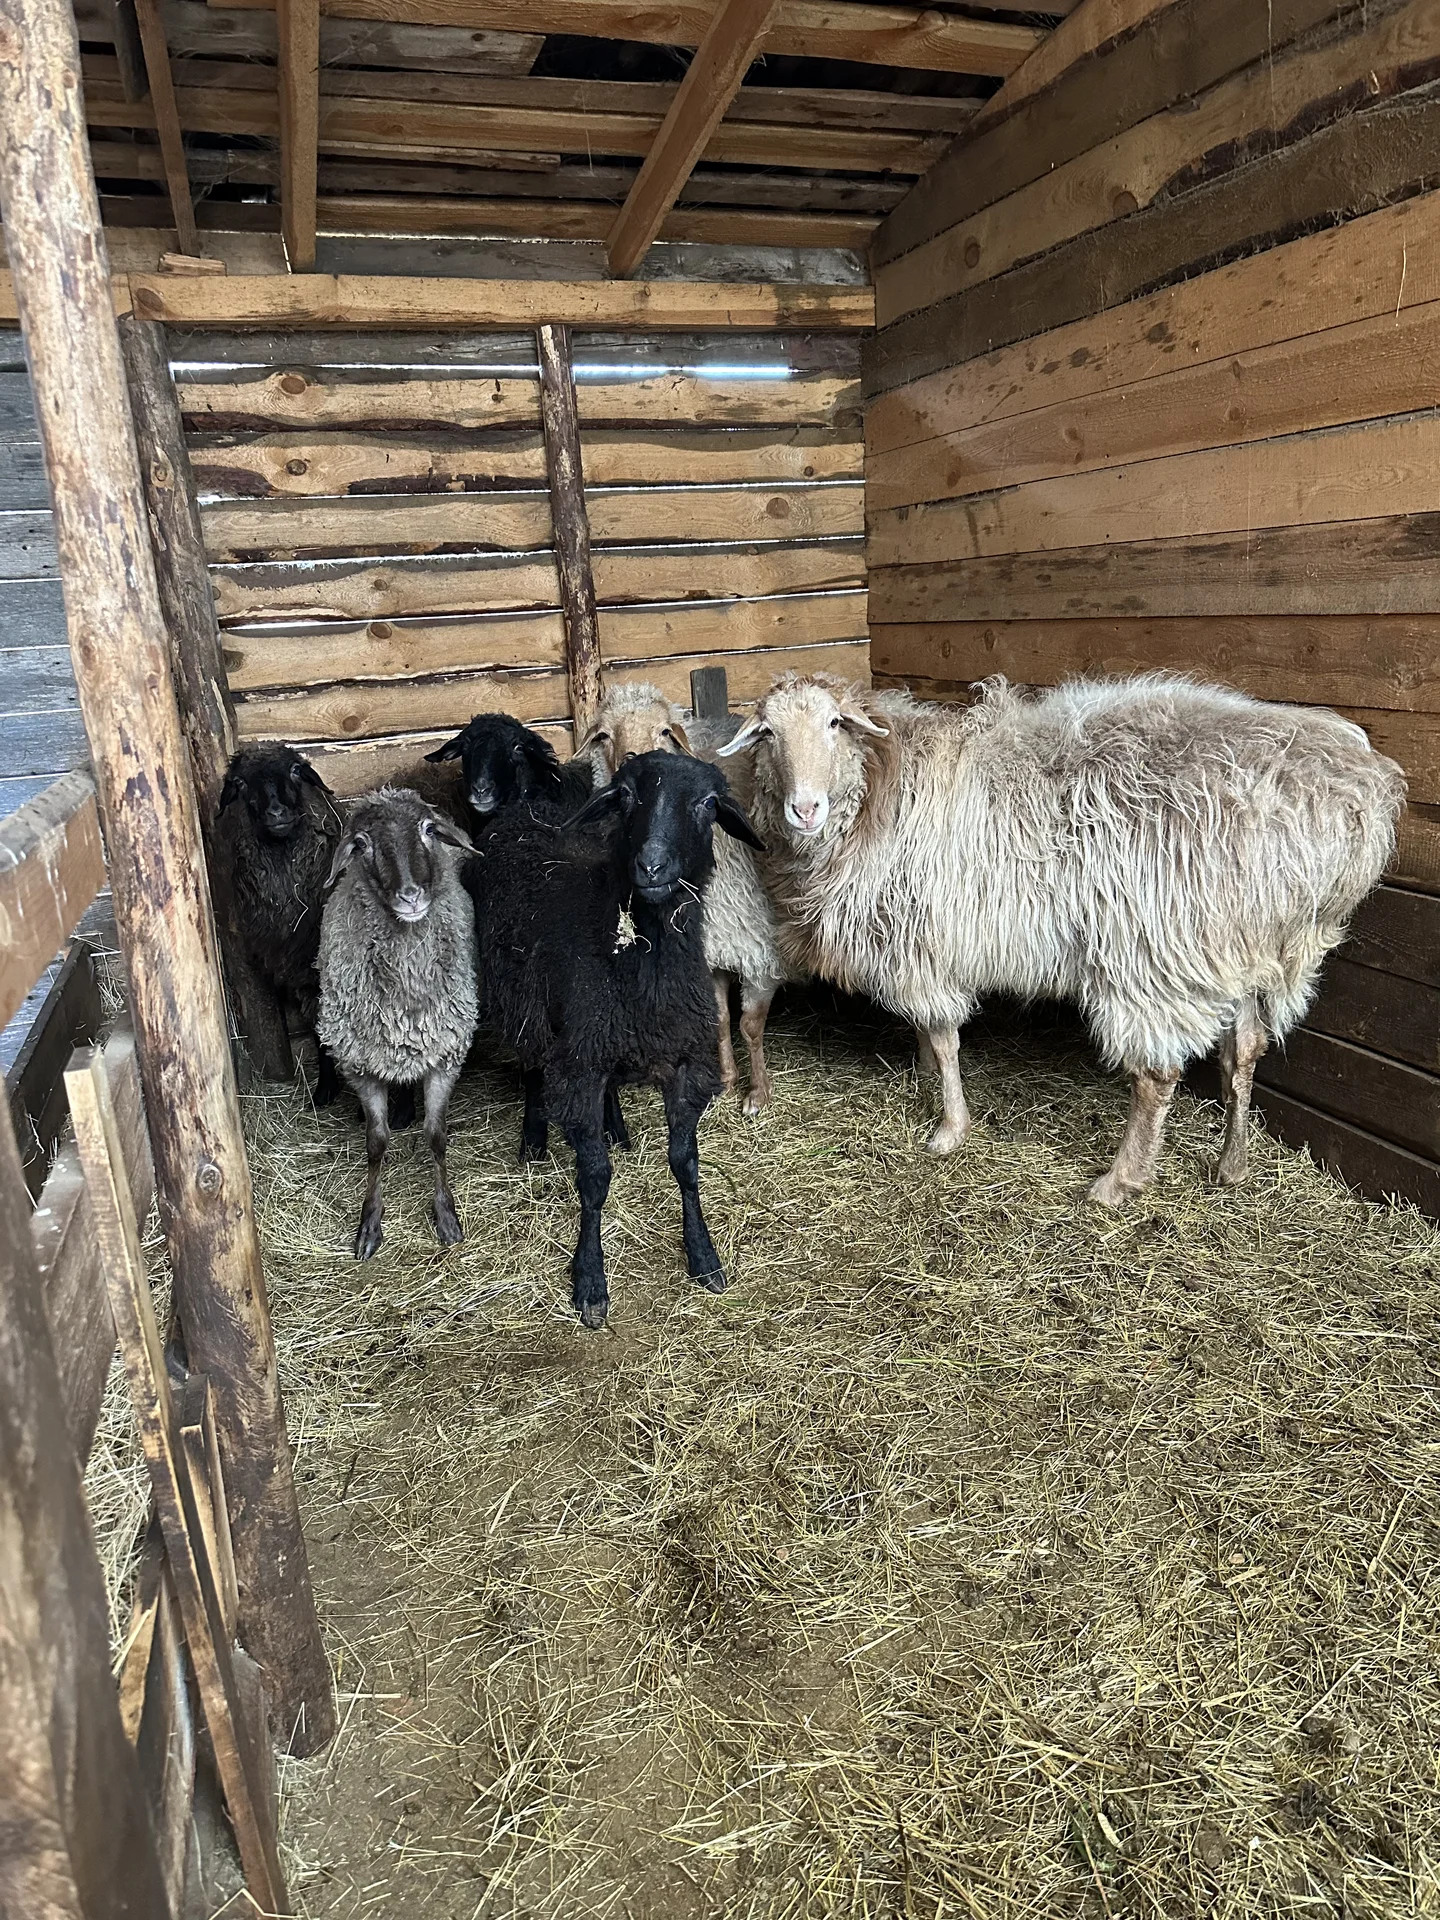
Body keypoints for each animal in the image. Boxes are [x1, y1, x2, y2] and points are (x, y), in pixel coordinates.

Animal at [215, 743, 344, 1102]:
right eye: (240, 783)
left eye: (296, 771)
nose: (276, 812)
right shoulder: (299, 970)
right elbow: (318, 1029)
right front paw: (325, 1089)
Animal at [317, 787, 478, 1258]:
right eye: (362, 844)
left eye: (428, 830)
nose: (410, 896)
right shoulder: (359, 1063)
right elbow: (376, 1142)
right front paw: (369, 1222)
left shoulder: (446, 1054)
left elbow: (436, 1136)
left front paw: (446, 1216)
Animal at [464, 750, 765, 1328]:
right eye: (625, 796)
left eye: (707, 803)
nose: (651, 866)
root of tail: (529, 808)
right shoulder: (580, 1063)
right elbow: (595, 1176)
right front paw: (589, 1280)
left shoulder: (686, 1062)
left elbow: (685, 1163)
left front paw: (703, 1256)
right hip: (525, 999)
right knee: (534, 1064)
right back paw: (534, 1139)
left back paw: (617, 1129)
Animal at [576, 682, 799, 1113]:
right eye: (603, 735)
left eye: (665, 731)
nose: (633, 759)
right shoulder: (712, 946)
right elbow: (721, 1020)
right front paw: (727, 1081)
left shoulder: (760, 948)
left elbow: (749, 1024)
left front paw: (758, 1094)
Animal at [720, 671, 1405, 1204]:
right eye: (766, 733)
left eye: (837, 723)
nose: (804, 808)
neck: (878, 788)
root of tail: (1354, 793)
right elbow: (929, 1036)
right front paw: (924, 1083)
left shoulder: (925, 940)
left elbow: (943, 1038)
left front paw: (948, 1128)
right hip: (1233, 947)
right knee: (1245, 1052)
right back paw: (1231, 1164)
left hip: (1156, 950)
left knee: (1157, 1075)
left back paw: (1119, 1181)